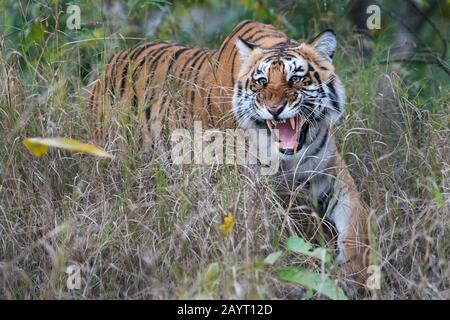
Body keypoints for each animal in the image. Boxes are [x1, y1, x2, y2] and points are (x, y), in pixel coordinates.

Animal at [88, 20, 370, 284]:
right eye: (261, 82)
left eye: (296, 79)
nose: (275, 109)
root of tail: (110, 61)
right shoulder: (249, 189)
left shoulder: (331, 176)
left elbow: (356, 226)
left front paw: (355, 273)